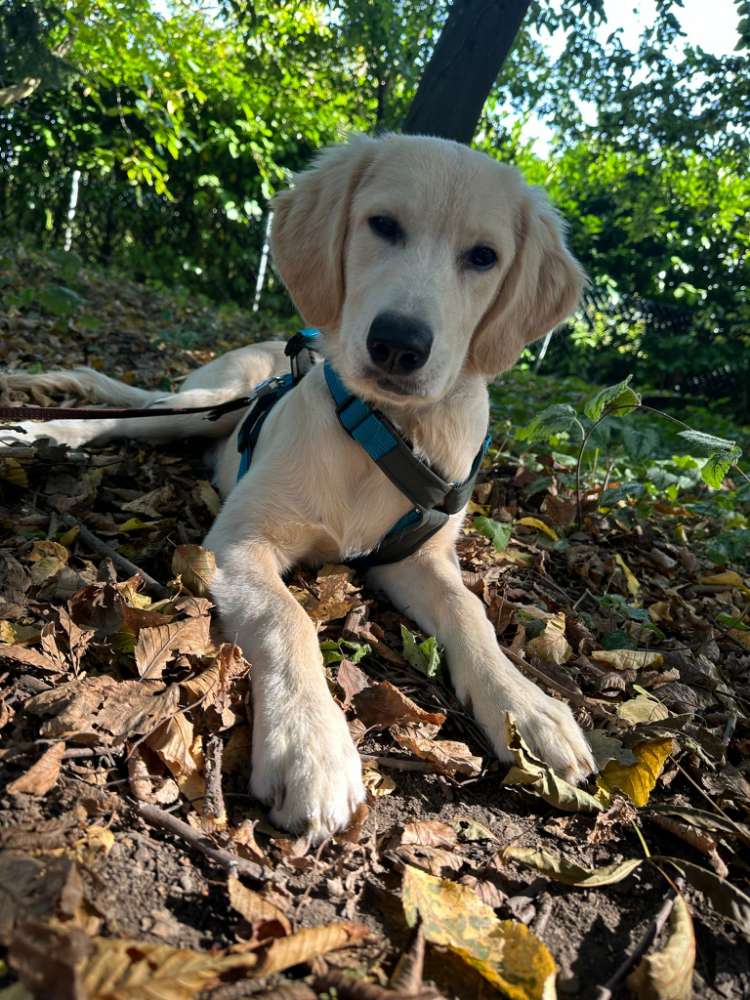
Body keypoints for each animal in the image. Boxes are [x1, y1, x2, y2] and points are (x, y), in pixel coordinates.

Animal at [1, 131, 600, 836]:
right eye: (383, 225)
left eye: (484, 256)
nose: (399, 344)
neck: (382, 430)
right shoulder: (238, 542)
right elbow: (286, 616)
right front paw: (311, 744)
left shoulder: (415, 557)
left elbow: (469, 612)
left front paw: (528, 707)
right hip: (210, 404)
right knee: (122, 407)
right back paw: (41, 430)